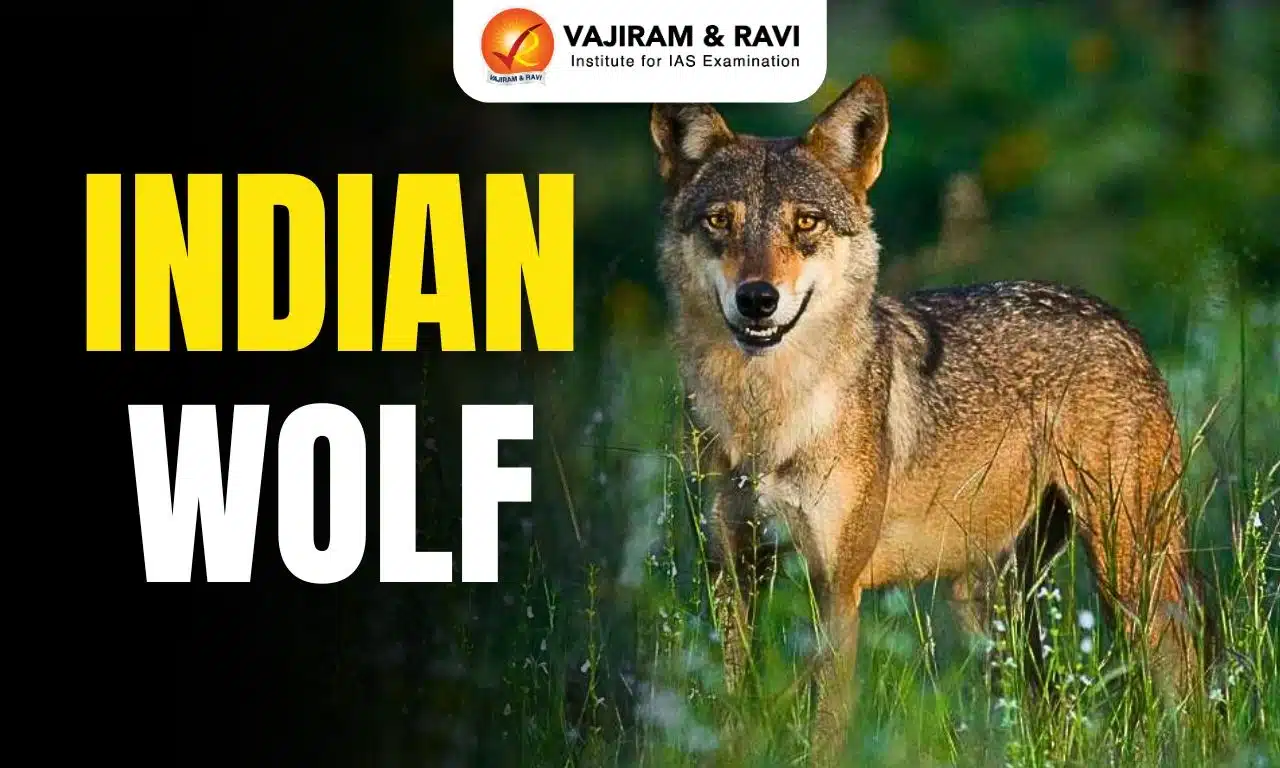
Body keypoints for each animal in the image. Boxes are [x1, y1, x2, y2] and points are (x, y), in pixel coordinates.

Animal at [650, 75, 1203, 762]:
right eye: (720, 221)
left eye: (805, 222)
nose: (757, 299)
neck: (764, 419)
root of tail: (1119, 321)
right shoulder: (733, 573)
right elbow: (735, 706)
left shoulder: (837, 586)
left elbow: (827, 726)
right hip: (991, 602)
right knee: (1045, 703)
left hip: (1130, 574)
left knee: (1185, 674)